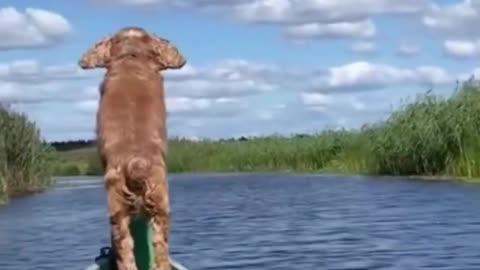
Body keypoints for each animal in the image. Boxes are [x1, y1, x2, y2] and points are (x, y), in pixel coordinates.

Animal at [77, 26, 186, 270]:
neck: (131, 56)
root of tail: (135, 163)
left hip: (118, 212)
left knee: (125, 253)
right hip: (158, 208)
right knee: (159, 254)